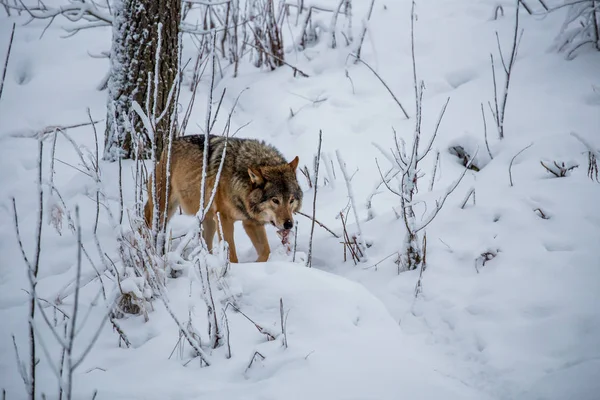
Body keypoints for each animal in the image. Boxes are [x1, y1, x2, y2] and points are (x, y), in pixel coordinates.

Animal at [144, 135, 302, 262]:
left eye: (291, 200)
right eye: (275, 200)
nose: (289, 224)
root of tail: (167, 147)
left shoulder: (251, 223)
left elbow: (266, 252)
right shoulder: (224, 219)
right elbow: (231, 256)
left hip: (209, 222)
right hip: (163, 211)